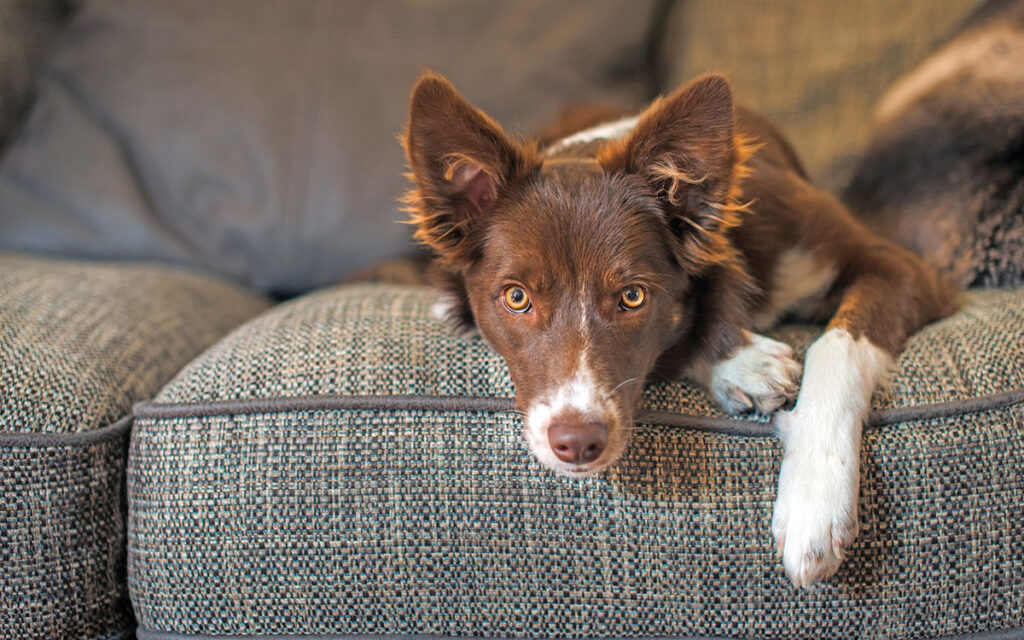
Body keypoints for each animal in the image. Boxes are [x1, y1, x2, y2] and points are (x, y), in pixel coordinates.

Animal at [401, 72, 958, 585]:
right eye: (516, 298)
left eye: (632, 296)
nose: (577, 443)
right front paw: (742, 365)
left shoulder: (901, 268)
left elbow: (835, 348)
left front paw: (814, 501)